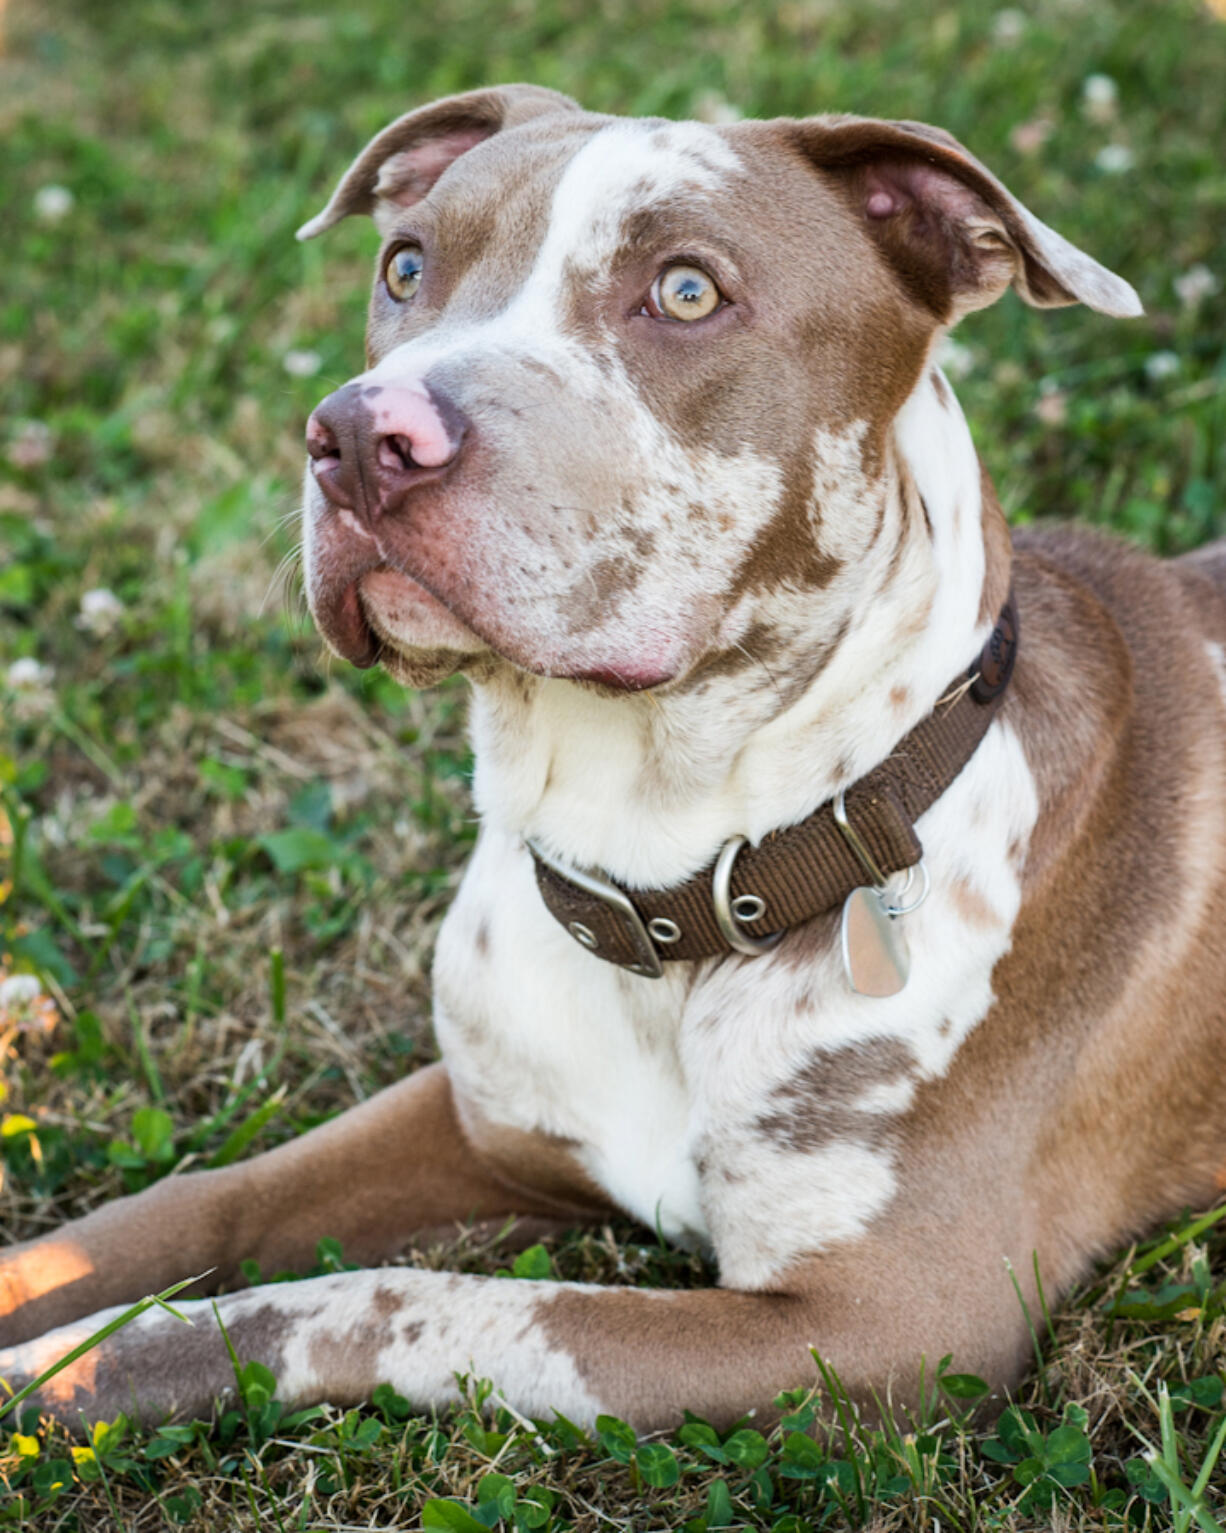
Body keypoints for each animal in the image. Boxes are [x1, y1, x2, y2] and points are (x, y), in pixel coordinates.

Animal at [2, 89, 1226, 1434]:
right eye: (405, 266)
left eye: (686, 292)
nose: (361, 437)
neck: (665, 876)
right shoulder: (476, 1116)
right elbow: (199, 1200)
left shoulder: (882, 1329)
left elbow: (386, 1302)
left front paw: (86, 1363)